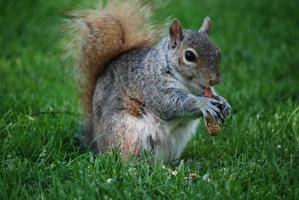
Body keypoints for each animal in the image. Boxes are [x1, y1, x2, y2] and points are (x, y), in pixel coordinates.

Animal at [66, 0, 232, 163]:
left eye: (217, 51)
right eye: (189, 56)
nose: (215, 79)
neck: (188, 83)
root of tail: (96, 144)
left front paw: (223, 102)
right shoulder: (153, 85)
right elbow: (169, 103)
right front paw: (203, 103)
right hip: (127, 132)